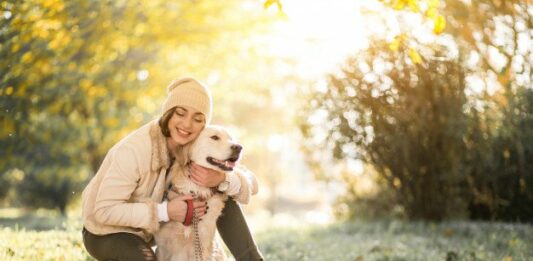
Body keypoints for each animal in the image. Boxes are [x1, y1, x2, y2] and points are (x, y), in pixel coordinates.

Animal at [155, 125, 242, 258]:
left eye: (231, 138)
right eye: (214, 137)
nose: (239, 147)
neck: (194, 191)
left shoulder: (204, 247)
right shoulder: (162, 249)